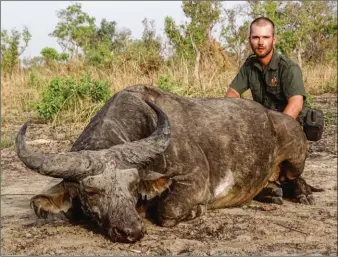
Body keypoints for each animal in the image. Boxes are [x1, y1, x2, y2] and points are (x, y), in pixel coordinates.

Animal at [15, 84, 322, 242]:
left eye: (133, 185)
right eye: (91, 192)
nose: (132, 231)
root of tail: (275, 118)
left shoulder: (193, 179)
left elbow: (167, 210)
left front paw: (195, 211)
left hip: (296, 154)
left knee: (295, 176)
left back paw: (302, 194)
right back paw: (271, 192)